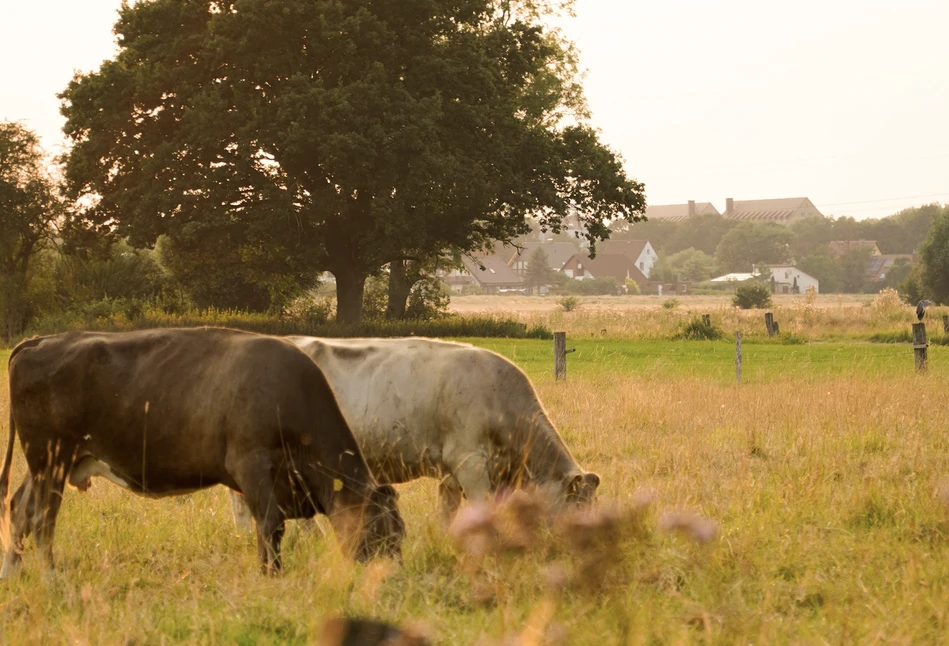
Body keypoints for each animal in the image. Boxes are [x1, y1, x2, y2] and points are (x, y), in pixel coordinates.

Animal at [0, 330, 404, 576]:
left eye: (399, 533)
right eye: (382, 529)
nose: (391, 578)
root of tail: (41, 340)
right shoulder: (253, 465)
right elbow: (270, 525)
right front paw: (271, 577)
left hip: (46, 465)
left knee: (19, 509)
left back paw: (13, 573)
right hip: (50, 459)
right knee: (42, 519)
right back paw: (51, 579)